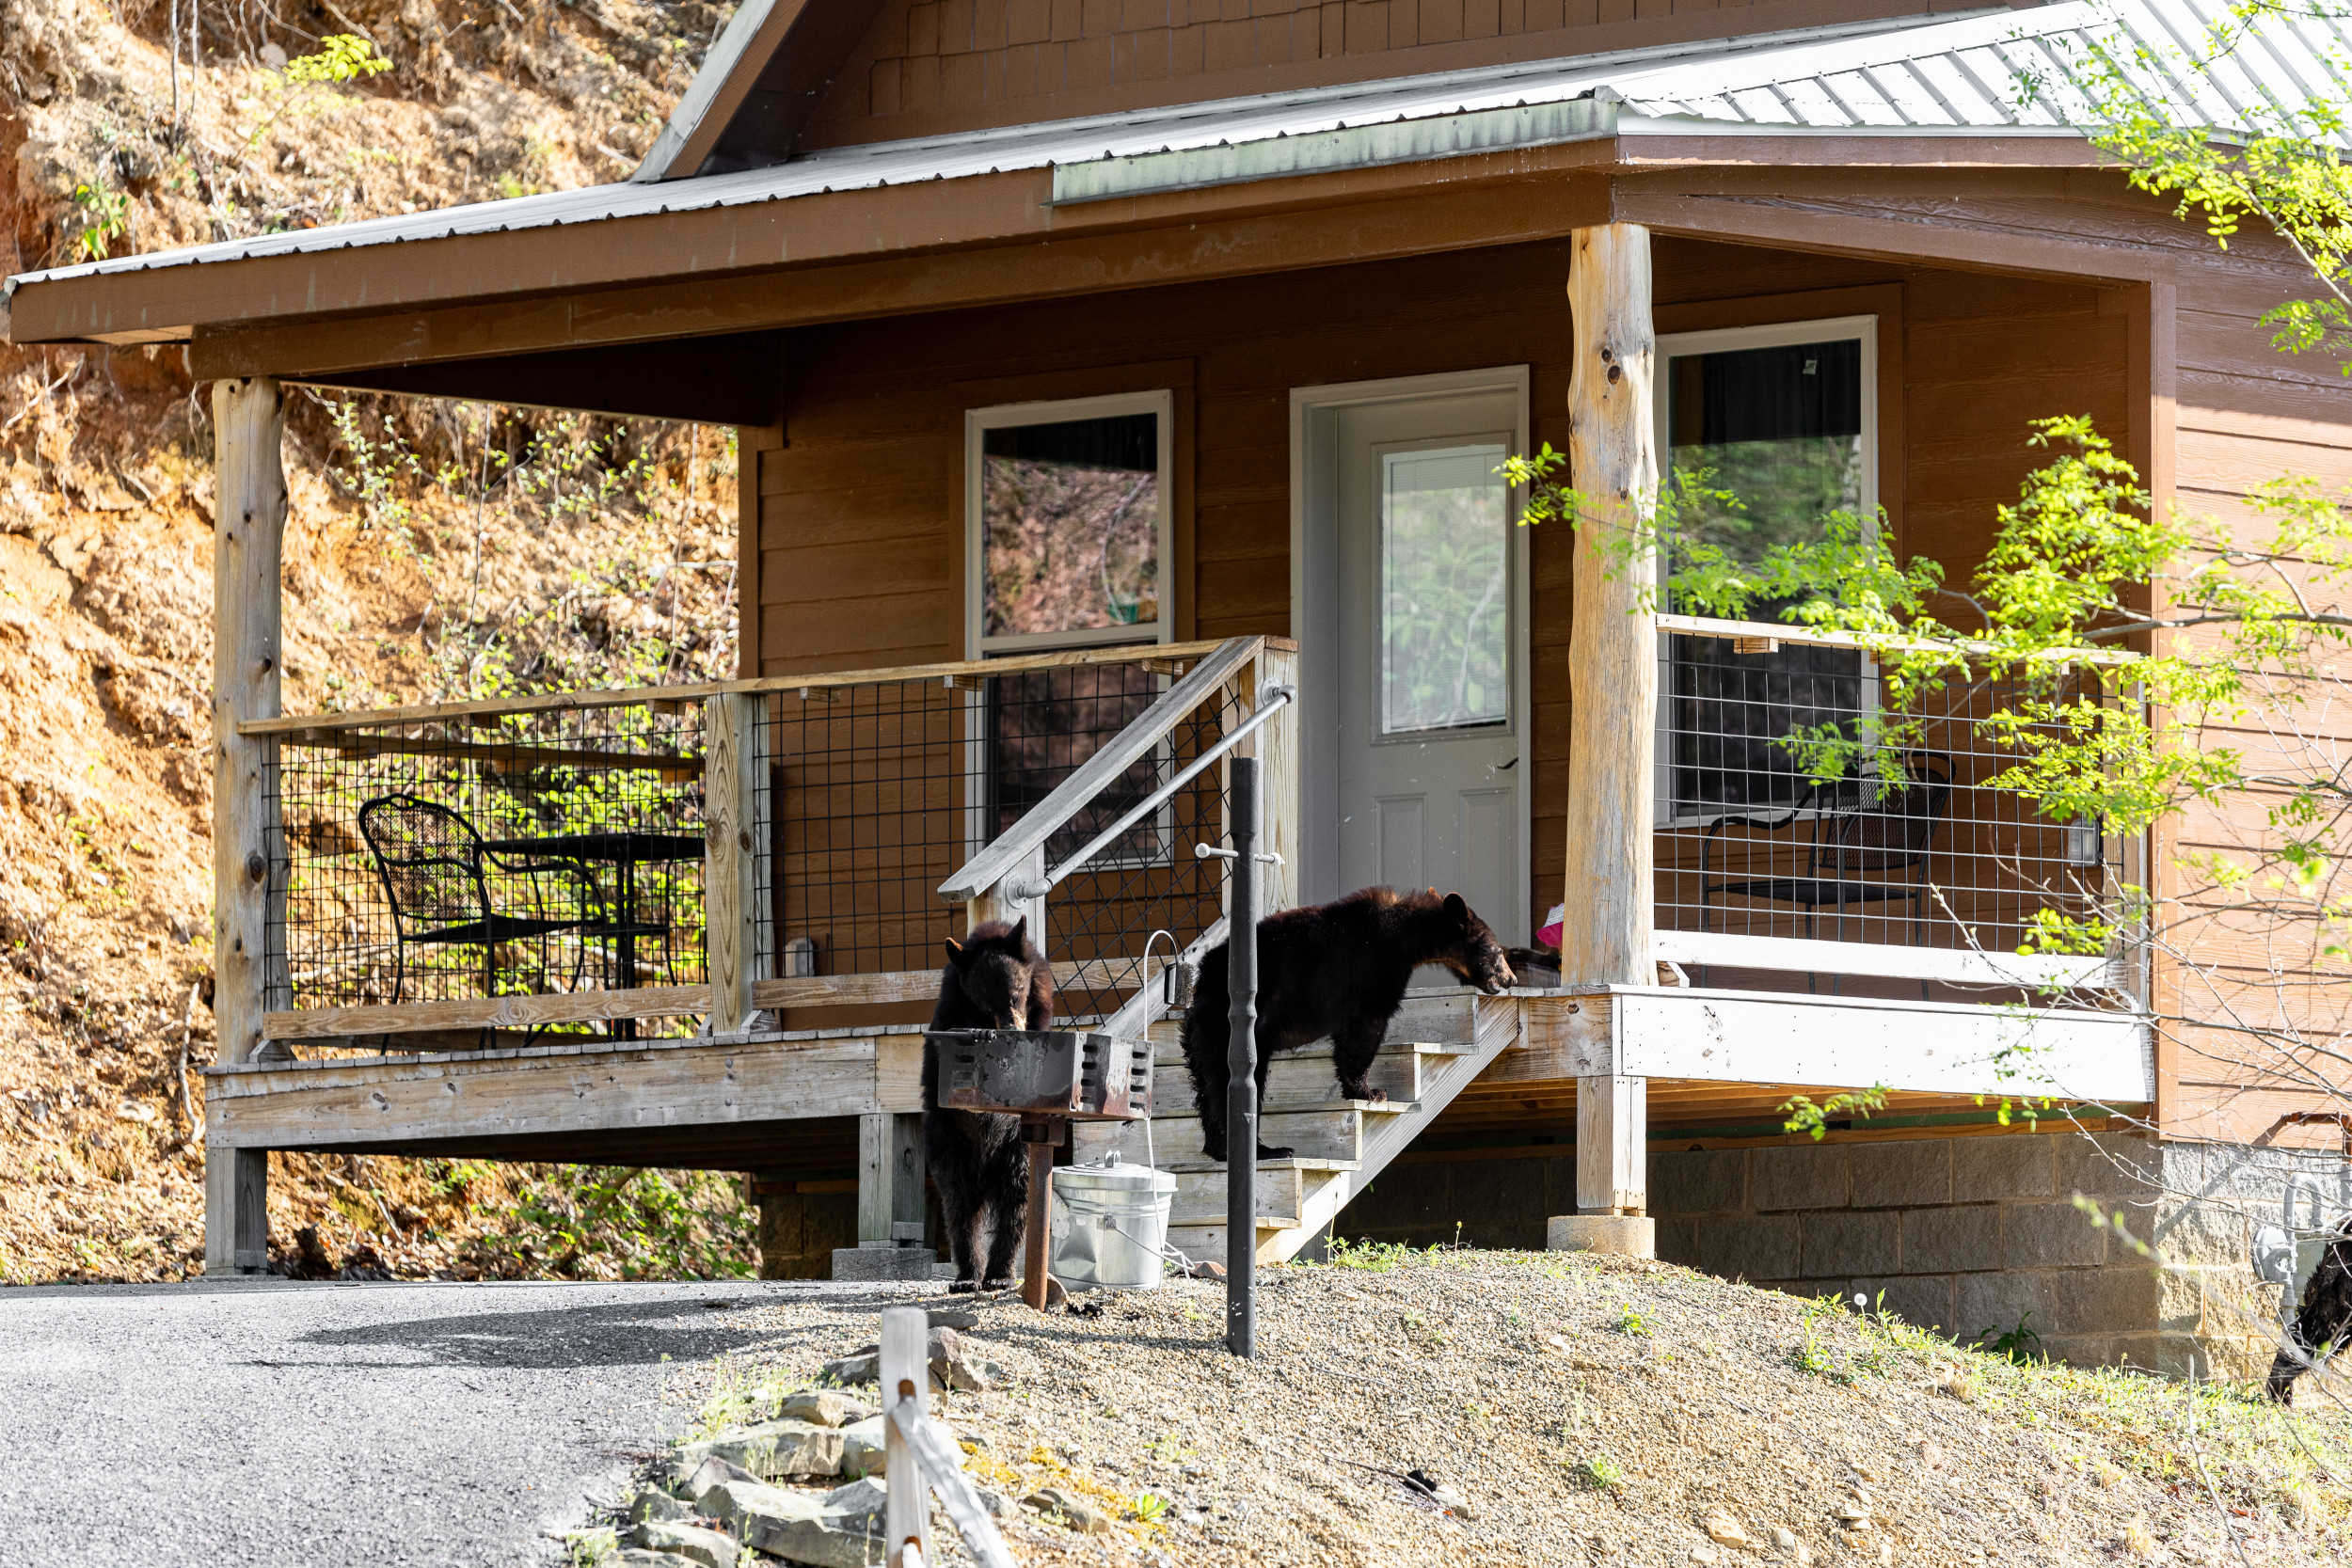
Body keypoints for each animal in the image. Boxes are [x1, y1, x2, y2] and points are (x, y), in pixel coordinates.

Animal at [917, 911, 1058, 1297]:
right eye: (984, 1003)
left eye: (1017, 993)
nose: (1010, 1030)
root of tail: (985, 1171)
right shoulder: (950, 1012)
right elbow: (949, 1056)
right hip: (949, 1144)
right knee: (959, 1207)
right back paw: (968, 1275)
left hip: (1016, 1148)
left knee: (1017, 1202)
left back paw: (1000, 1273)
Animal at [1176, 888, 1524, 1161]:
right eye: (1496, 951)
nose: (1511, 979)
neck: (1405, 935)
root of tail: (1199, 986)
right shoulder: (1374, 970)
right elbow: (1368, 1026)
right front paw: (1371, 1091)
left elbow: (1347, 1037)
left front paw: (1354, 1087)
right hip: (1233, 1029)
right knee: (1234, 1083)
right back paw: (1265, 1150)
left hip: (1200, 1039)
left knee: (1206, 1087)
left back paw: (1218, 1148)